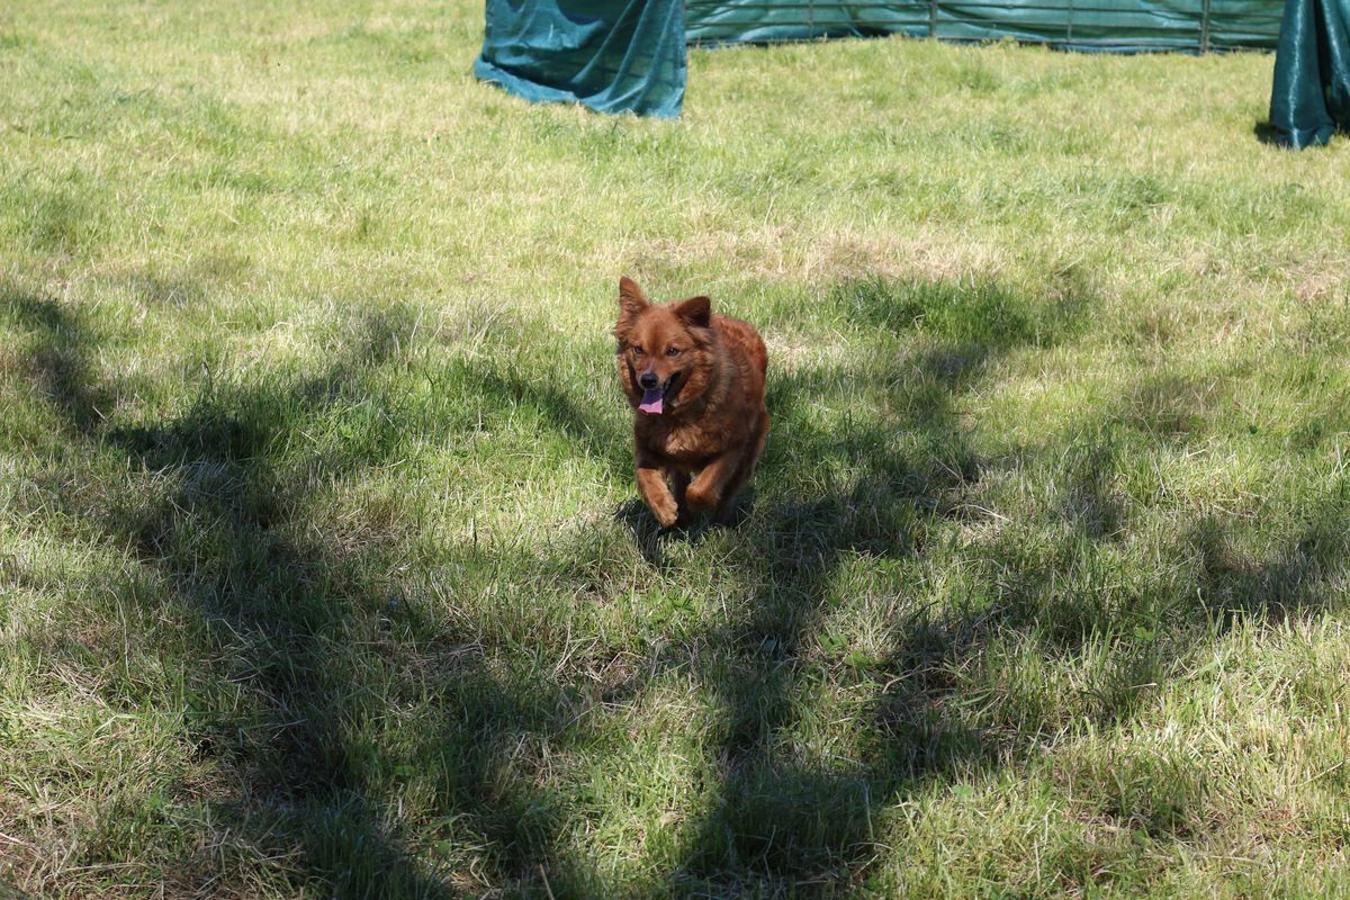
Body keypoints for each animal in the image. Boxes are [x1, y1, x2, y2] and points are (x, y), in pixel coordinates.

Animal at [615, 275, 772, 528]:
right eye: (638, 349)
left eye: (672, 351)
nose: (648, 380)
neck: (677, 414)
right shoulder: (647, 446)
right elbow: (644, 476)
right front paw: (663, 507)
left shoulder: (733, 447)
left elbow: (701, 489)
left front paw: (699, 504)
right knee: (680, 481)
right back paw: (683, 516)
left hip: (751, 447)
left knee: (730, 489)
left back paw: (719, 520)